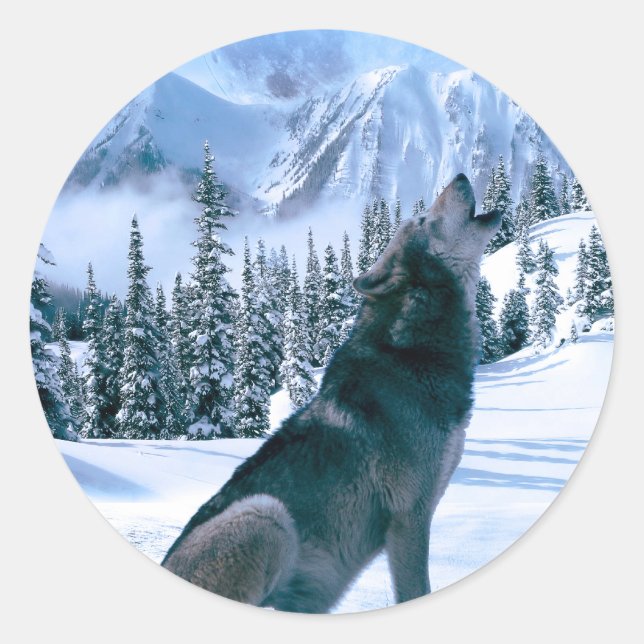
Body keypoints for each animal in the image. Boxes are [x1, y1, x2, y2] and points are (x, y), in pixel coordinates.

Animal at [162, 175, 501, 612]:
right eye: (424, 219)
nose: (459, 176)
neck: (411, 352)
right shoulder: (409, 516)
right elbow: (416, 590)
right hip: (266, 514)